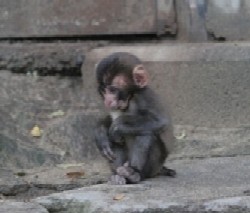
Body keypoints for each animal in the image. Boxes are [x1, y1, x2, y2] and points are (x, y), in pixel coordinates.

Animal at [94, 52, 176, 185]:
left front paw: (119, 126)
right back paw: (118, 175)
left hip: (154, 167)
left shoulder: (143, 96)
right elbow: (108, 121)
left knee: (145, 133)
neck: (129, 98)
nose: (107, 100)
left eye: (112, 90)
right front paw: (101, 135)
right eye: (103, 91)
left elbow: (161, 121)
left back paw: (134, 173)